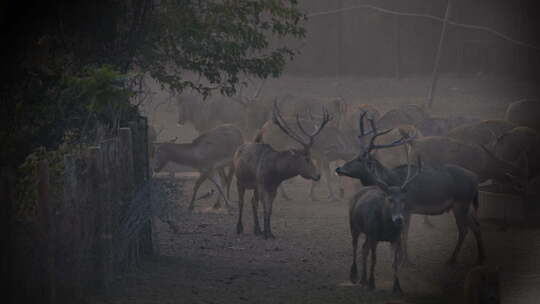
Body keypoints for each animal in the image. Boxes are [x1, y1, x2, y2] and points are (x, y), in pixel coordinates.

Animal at [233, 101, 332, 239]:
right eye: (306, 158)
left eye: (311, 157)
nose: (318, 175)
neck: (276, 173)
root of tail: (238, 149)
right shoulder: (262, 183)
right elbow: (265, 207)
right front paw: (266, 233)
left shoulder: (272, 187)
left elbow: (269, 209)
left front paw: (269, 232)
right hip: (240, 180)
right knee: (241, 202)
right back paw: (239, 228)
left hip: (254, 186)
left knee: (253, 202)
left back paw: (257, 230)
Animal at [338, 113, 486, 264]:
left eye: (359, 160)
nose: (339, 168)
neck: (390, 180)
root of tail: (475, 179)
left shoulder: (407, 207)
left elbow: (404, 232)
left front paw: (405, 260)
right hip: (466, 204)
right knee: (476, 225)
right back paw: (480, 257)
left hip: (461, 202)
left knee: (464, 229)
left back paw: (452, 259)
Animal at [348, 156, 420, 294]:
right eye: (390, 199)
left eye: (403, 199)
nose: (399, 219)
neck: (386, 228)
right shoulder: (374, 235)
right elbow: (374, 259)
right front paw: (372, 284)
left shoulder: (395, 238)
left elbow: (394, 262)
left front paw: (397, 288)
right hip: (354, 225)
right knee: (354, 246)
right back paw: (354, 276)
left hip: (367, 232)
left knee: (364, 248)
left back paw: (363, 280)